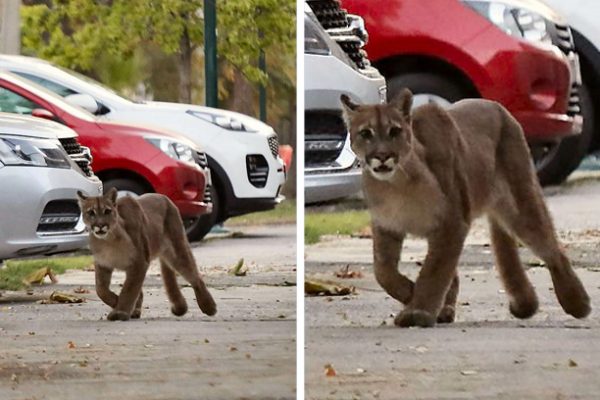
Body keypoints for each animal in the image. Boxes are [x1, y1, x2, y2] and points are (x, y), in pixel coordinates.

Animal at [78, 188, 216, 322]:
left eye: (107, 211)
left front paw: (120, 311)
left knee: (195, 277)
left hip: (177, 252)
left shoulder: (139, 262)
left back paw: (209, 306)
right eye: (91, 212)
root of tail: (164, 197)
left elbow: (129, 289)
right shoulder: (103, 264)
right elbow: (101, 290)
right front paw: (122, 305)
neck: (109, 240)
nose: (100, 225)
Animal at [342, 89, 592, 326]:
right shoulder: (388, 226)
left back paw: (577, 302)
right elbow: (384, 272)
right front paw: (415, 297)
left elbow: (433, 271)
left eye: (394, 131)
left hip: (520, 204)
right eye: (366, 133)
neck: (397, 184)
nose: (382, 156)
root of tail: (498, 106)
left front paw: (418, 311)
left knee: (553, 249)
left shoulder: (452, 222)